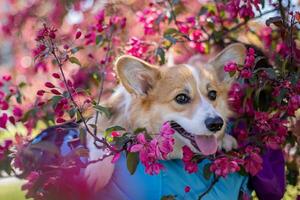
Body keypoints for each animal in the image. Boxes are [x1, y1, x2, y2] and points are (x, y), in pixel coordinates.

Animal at [84, 42, 246, 194]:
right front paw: (97, 171)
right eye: (181, 98)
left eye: (213, 94)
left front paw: (224, 139)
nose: (216, 124)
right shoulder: (101, 118)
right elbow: (102, 139)